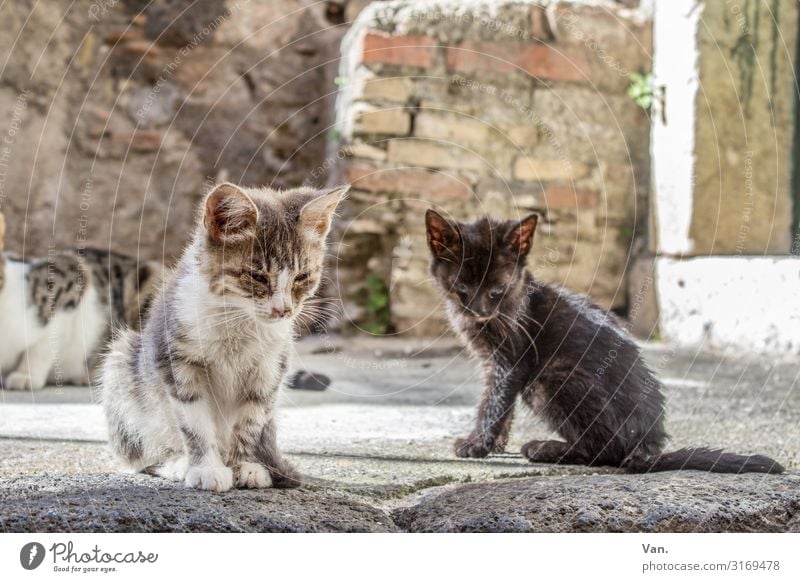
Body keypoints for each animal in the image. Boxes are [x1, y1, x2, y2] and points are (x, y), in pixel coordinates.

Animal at [101, 182, 346, 492]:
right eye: (257, 276)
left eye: (302, 277)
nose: (283, 310)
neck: (238, 321)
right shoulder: (175, 356)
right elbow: (195, 421)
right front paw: (207, 468)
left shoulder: (270, 367)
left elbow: (251, 419)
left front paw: (245, 465)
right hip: (122, 363)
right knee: (141, 457)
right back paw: (177, 463)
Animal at [428, 210, 784, 474]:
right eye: (462, 288)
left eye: (496, 291)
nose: (479, 312)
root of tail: (645, 449)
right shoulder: (498, 364)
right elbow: (504, 406)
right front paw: (496, 443)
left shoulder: (511, 359)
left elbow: (494, 401)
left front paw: (477, 445)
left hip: (551, 378)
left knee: (606, 452)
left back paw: (545, 448)